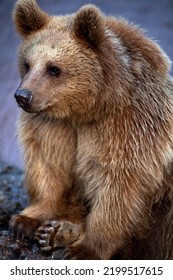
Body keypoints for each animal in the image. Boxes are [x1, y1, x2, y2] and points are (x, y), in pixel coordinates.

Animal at [9, 0, 173, 260]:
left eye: (53, 68)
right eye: (27, 64)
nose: (23, 96)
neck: (86, 110)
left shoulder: (127, 128)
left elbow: (117, 185)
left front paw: (83, 249)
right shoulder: (53, 125)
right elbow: (48, 164)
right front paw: (25, 221)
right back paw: (56, 232)